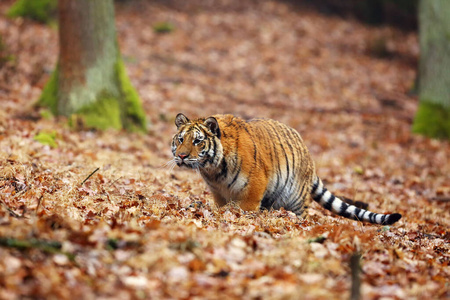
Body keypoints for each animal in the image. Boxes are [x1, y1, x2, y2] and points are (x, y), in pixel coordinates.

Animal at [171, 113, 400, 224]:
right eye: (181, 139)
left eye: (198, 141)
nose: (181, 156)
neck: (214, 170)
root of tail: (308, 154)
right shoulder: (218, 192)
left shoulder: (254, 188)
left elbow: (244, 209)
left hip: (295, 199)